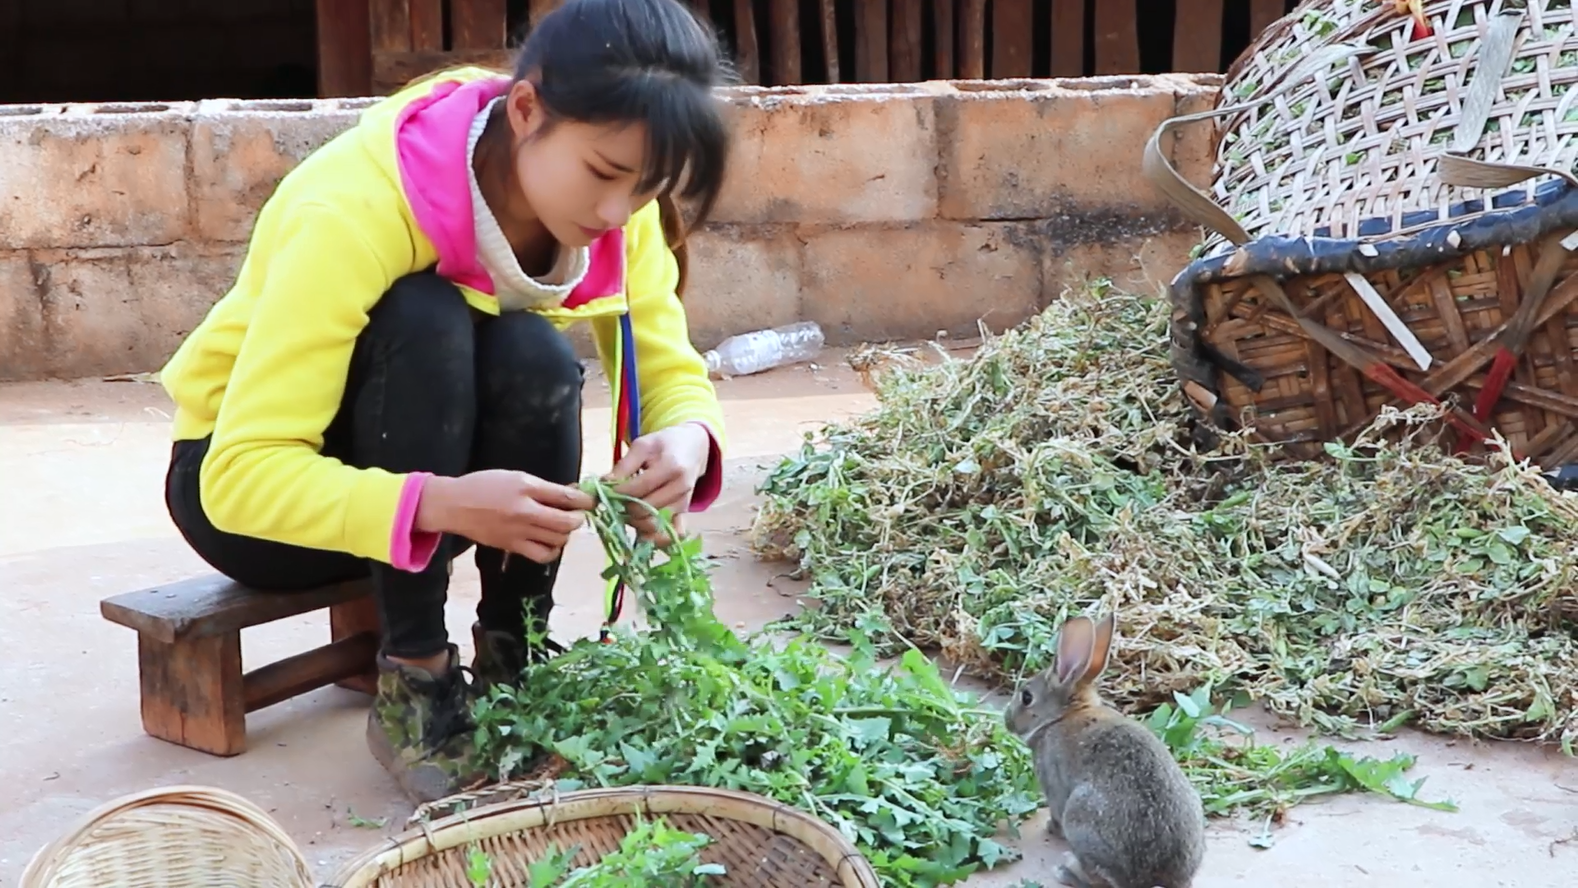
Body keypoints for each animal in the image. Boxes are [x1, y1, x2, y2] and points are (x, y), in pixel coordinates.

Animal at [1003, 615, 1199, 888]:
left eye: (1027, 697)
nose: (1007, 721)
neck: (1063, 716)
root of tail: (1158, 877)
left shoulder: (1053, 781)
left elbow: (1055, 808)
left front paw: (1051, 828)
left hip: (1081, 816)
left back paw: (1067, 870)